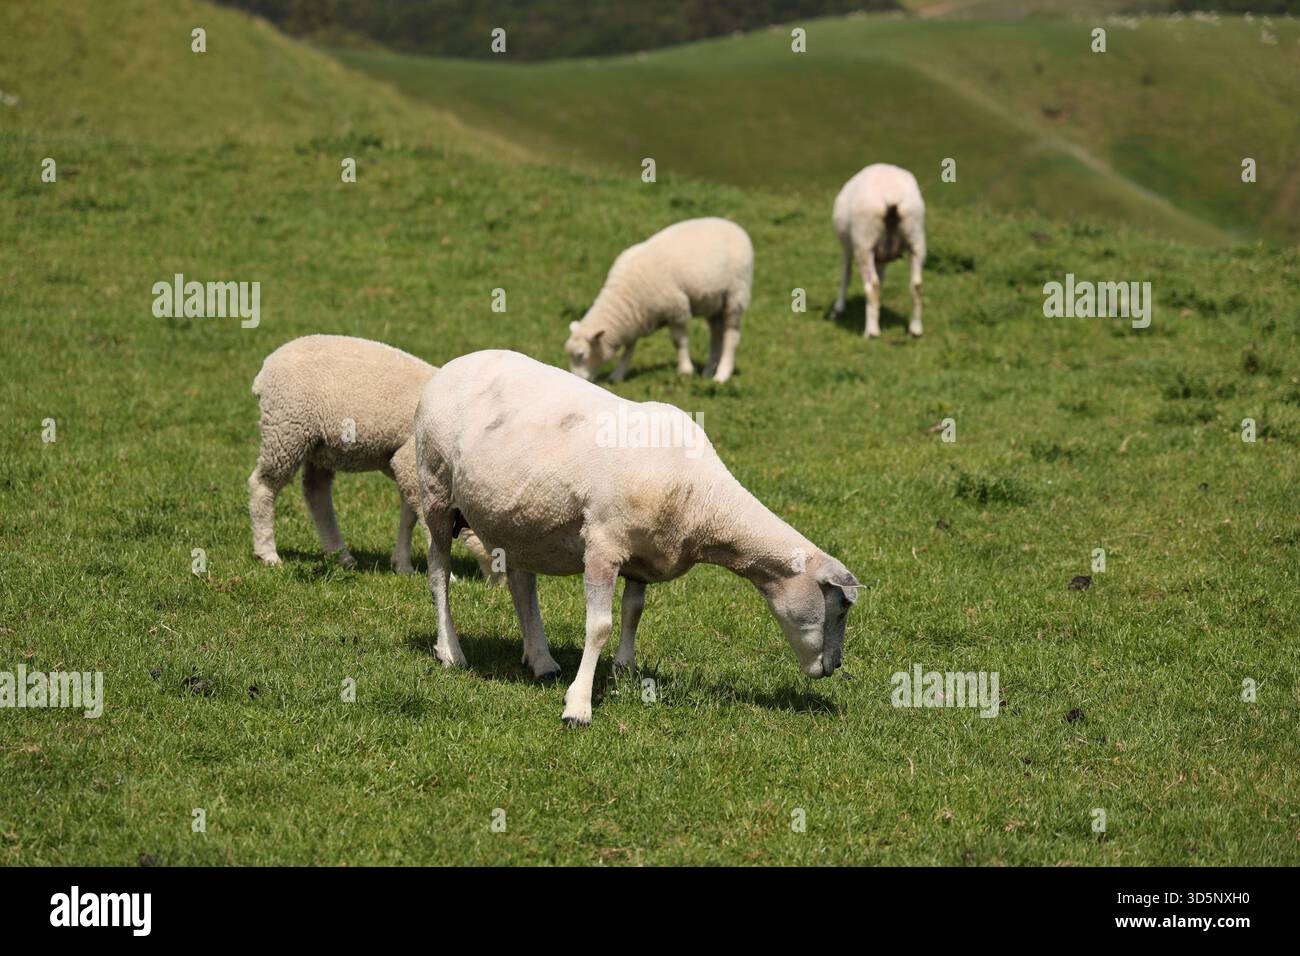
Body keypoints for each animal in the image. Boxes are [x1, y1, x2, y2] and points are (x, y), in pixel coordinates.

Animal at [248, 334, 500, 582]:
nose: (499, 587)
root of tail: (266, 367)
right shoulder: (411, 460)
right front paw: (447, 577)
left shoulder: (409, 465)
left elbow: (408, 517)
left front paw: (403, 565)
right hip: (287, 428)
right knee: (263, 485)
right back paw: (268, 553)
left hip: (319, 446)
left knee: (316, 494)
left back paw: (341, 556)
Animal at [413, 349, 861, 726]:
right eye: (840, 607)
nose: (836, 666)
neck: (703, 500)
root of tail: (453, 364)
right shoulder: (603, 545)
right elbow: (599, 626)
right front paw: (578, 705)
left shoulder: (642, 556)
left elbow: (634, 612)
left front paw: (624, 671)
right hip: (435, 492)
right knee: (438, 574)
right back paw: (451, 651)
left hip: (519, 519)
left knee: (522, 584)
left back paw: (541, 659)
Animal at [565, 217, 753, 384]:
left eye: (581, 355)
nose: (575, 379)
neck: (624, 295)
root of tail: (735, 226)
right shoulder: (634, 317)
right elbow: (629, 347)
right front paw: (618, 374)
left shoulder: (676, 309)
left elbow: (679, 342)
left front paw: (685, 370)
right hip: (713, 303)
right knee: (716, 334)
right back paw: (708, 371)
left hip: (736, 295)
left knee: (731, 337)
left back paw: (721, 375)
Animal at [831, 163, 927, 339]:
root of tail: (891, 196)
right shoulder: (881, 256)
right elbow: (881, 278)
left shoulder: (848, 247)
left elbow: (846, 275)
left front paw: (839, 308)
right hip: (916, 236)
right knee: (917, 285)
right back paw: (915, 329)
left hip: (864, 241)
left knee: (872, 286)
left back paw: (871, 331)